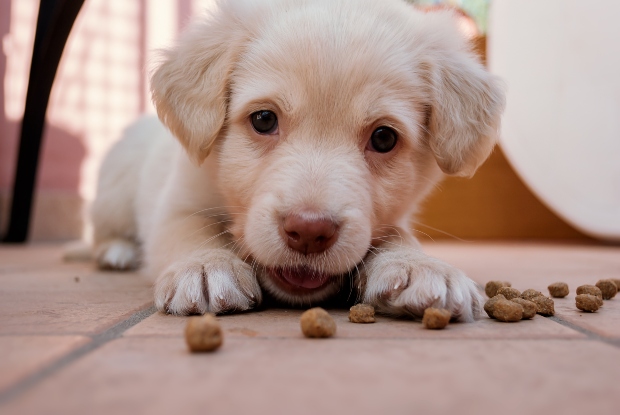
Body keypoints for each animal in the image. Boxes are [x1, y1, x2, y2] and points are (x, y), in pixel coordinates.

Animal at [91, 0, 504, 322]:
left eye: (384, 138)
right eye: (263, 119)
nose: (308, 232)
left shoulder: (394, 218)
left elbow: (396, 236)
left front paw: (418, 266)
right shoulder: (177, 203)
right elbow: (188, 230)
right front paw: (205, 266)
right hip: (114, 189)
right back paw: (117, 251)